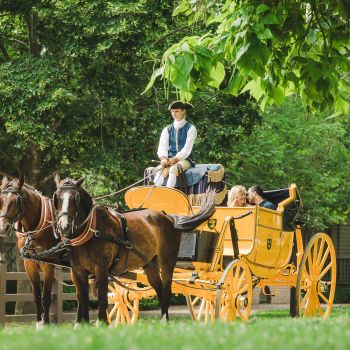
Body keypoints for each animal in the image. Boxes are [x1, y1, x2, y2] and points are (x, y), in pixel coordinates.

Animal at [0, 175, 59, 328]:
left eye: (16, 201)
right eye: (1, 199)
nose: (3, 228)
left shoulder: (48, 264)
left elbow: (46, 296)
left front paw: (47, 324)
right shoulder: (30, 263)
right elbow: (36, 295)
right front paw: (39, 324)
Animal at [53, 175, 215, 326]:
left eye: (75, 198)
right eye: (57, 197)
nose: (64, 226)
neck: (92, 231)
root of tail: (168, 216)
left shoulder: (102, 270)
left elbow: (102, 300)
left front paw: (103, 324)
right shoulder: (77, 272)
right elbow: (82, 299)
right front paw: (81, 325)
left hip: (167, 261)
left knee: (166, 289)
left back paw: (165, 320)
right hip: (149, 264)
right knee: (159, 289)